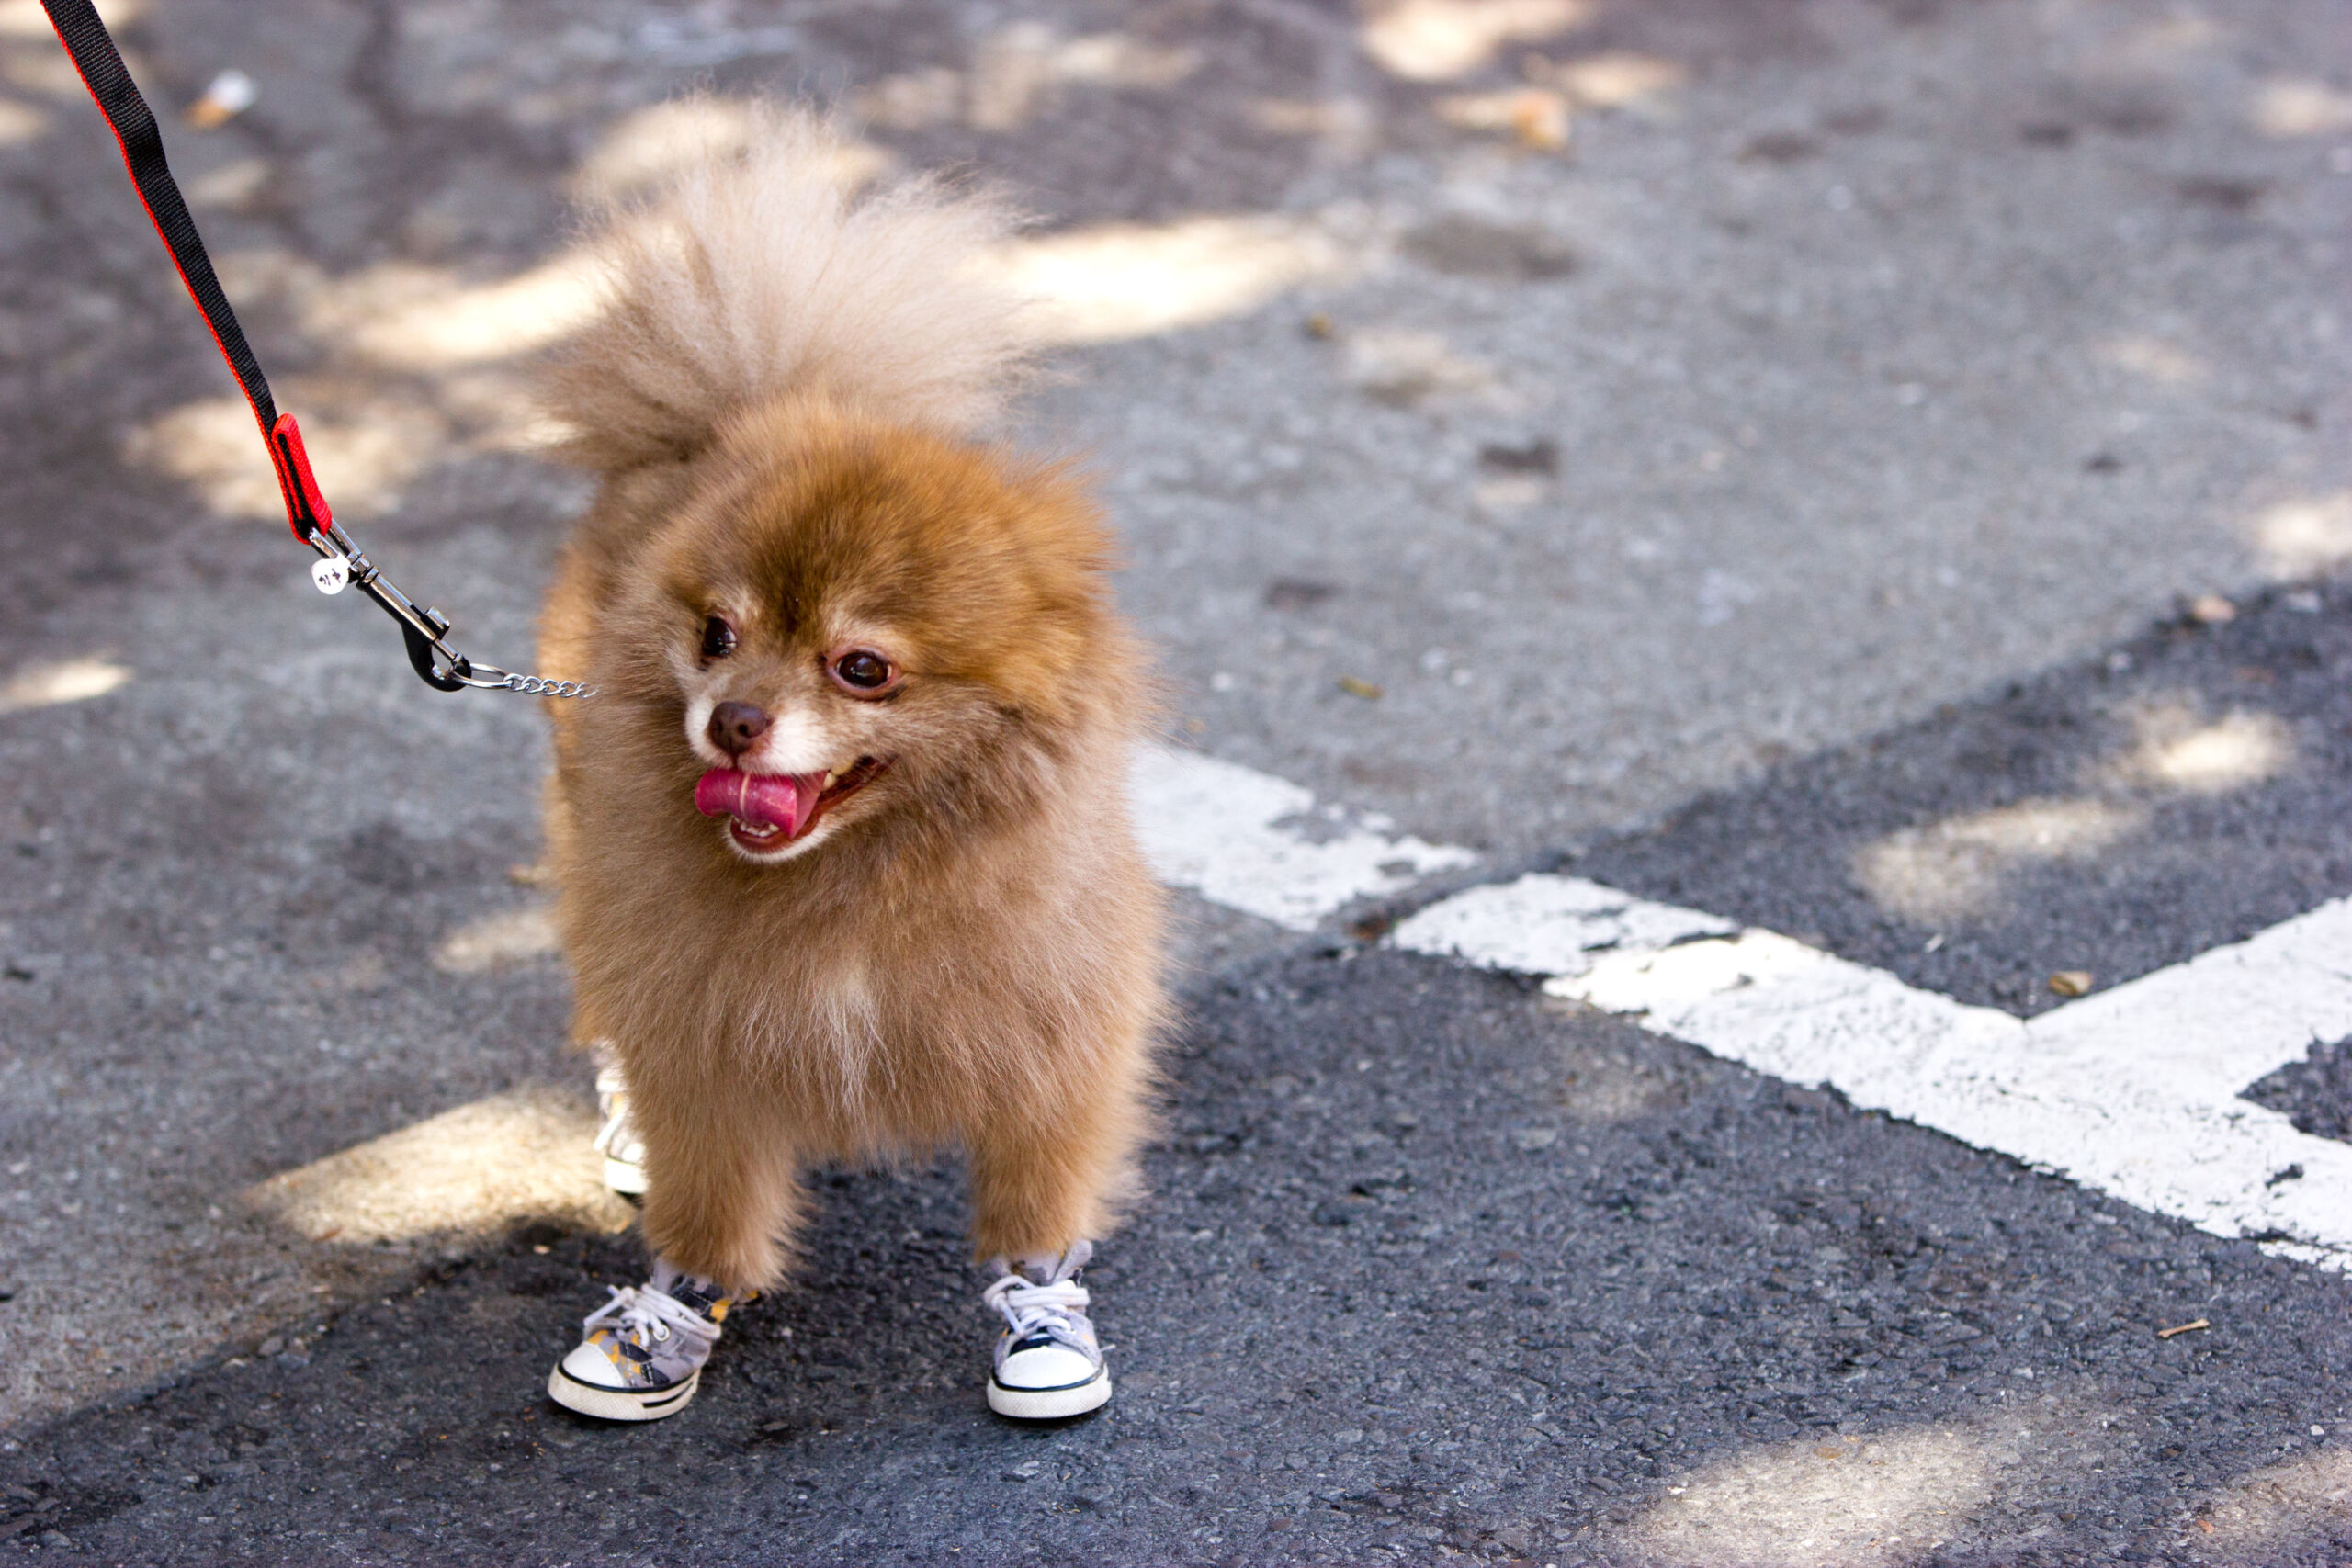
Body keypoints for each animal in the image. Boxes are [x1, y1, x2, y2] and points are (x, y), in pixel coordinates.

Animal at [529, 110, 1161, 1429]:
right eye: (718, 635)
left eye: (862, 666)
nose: (733, 721)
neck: (858, 879)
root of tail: (745, 399)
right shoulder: (702, 1027)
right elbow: (708, 1192)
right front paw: (670, 1316)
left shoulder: (1053, 1021)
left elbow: (1038, 1195)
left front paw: (1040, 1318)